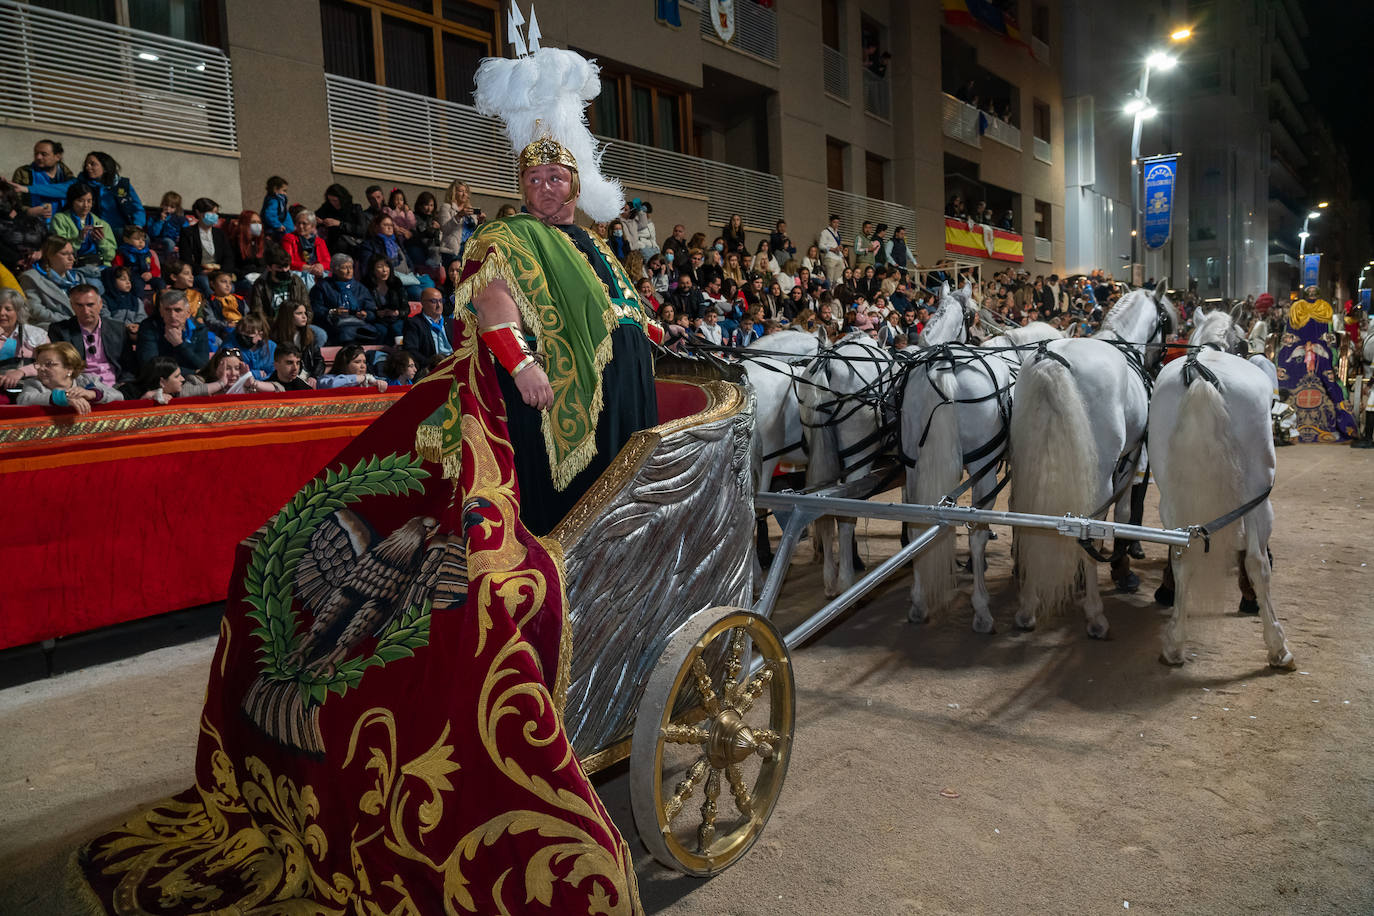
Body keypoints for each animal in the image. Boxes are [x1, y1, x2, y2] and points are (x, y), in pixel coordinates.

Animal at [901, 321, 1060, 631]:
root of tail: (945, 366)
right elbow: (1015, 506)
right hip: (982, 468)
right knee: (977, 534)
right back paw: (982, 611)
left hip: (914, 465)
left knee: (916, 526)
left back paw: (918, 602)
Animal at [1005, 282, 1176, 634]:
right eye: (1166, 319)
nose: (1160, 361)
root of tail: (1052, 361)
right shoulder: (1128, 459)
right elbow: (1121, 512)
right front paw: (1122, 570)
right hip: (1098, 468)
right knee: (1089, 520)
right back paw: (1096, 615)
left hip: (1028, 460)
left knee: (1026, 514)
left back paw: (1028, 606)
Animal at [1154, 307, 1291, 667]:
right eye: (1243, 341)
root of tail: (1200, 374)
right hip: (1259, 495)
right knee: (1257, 562)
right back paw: (1278, 645)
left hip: (1169, 499)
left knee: (1182, 557)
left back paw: (1174, 645)